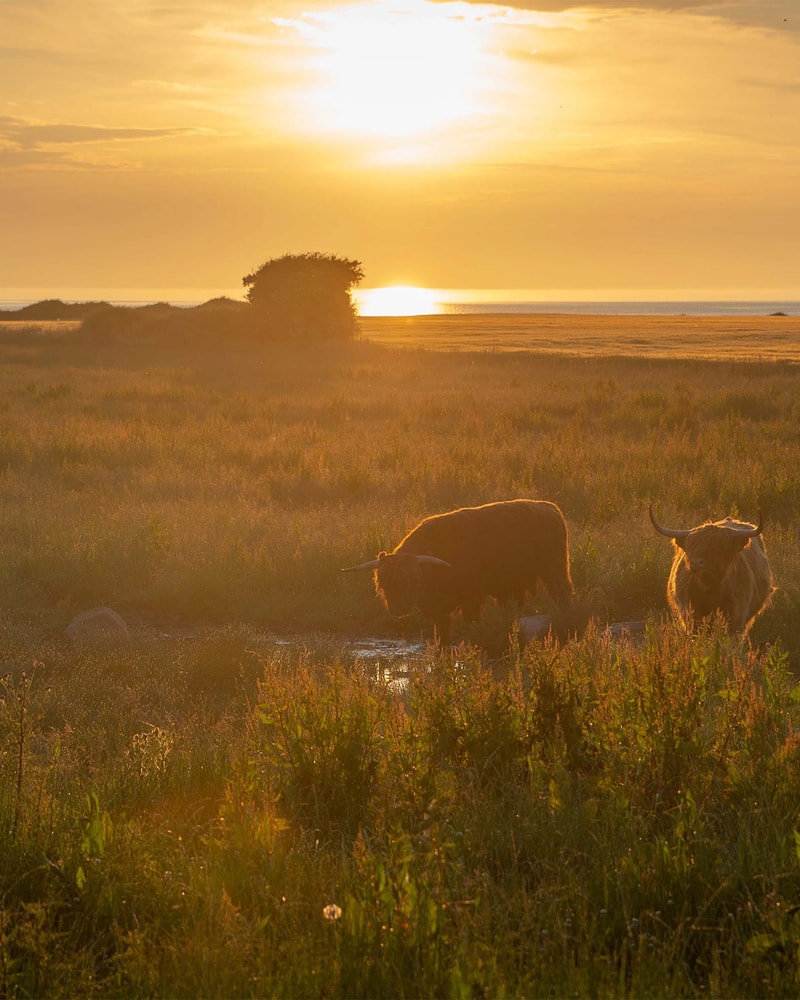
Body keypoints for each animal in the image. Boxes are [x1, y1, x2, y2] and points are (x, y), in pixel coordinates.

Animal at [340, 500, 572, 648]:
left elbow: (471, 623)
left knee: (562, 595)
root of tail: (550, 507)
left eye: (413, 580)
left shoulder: (471, 599)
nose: (398, 609)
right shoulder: (439, 611)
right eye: (383, 581)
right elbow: (442, 635)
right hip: (512, 585)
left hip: (556, 570)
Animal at [648, 504, 776, 636]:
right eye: (690, 546)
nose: (696, 563)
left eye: (717, 547)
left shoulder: (736, 615)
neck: (710, 588)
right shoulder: (691, 612)